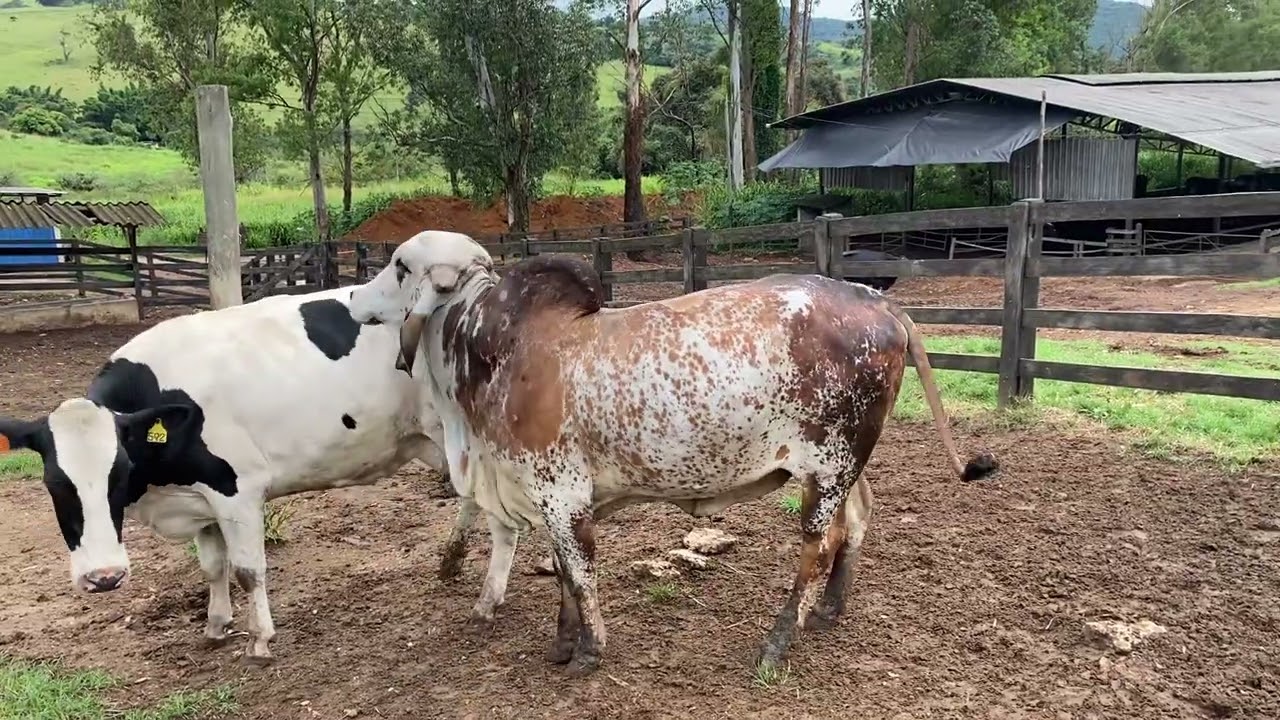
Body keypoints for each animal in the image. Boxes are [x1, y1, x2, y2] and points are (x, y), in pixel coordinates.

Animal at [0, 286, 455, 665]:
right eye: (54, 483)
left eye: (121, 472)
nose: (104, 577)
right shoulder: (200, 497)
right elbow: (212, 567)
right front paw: (216, 624)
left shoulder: (238, 490)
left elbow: (247, 570)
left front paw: (260, 641)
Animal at [347, 230, 998, 677]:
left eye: (400, 266)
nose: (352, 297)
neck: (494, 350)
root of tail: (878, 303)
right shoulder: (549, 494)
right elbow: (562, 572)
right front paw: (562, 643)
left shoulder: (560, 492)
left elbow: (579, 573)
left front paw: (589, 653)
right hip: (842, 464)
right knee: (860, 517)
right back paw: (830, 610)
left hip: (829, 465)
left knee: (819, 545)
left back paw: (777, 644)